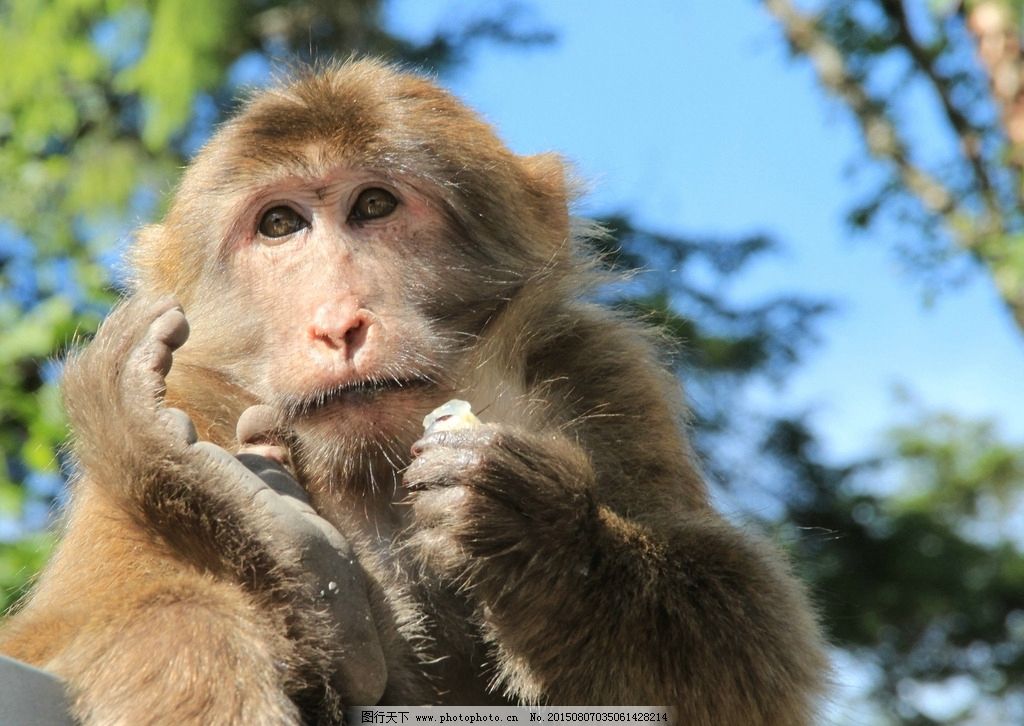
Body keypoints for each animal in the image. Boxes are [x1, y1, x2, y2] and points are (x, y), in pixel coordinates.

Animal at [0, 62, 831, 724]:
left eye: (374, 205)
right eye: (280, 224)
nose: (338, 323)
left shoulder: (598, 370)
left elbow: (754, 644)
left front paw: (530, 526)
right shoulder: (193, 395)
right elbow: (75, 628)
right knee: (184, 626)